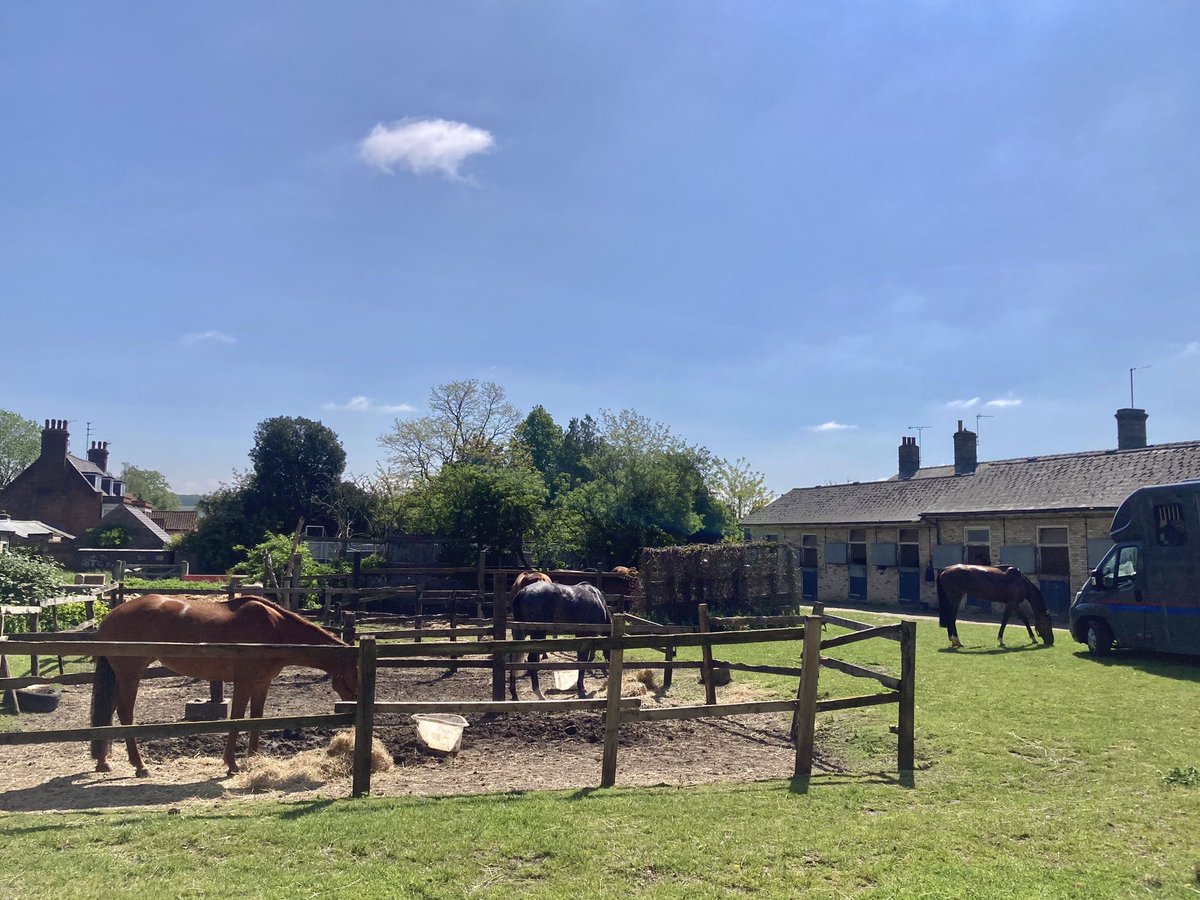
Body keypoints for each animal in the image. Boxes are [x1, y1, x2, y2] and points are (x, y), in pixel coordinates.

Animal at [89, 595, 355, 777]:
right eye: (356, 673)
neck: (275, 629)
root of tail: (110, 616)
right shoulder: (244, 682)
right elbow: (237, 719)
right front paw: (232, 764)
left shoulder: (262, 683)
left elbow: (257, 718)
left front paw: (253, 758)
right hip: (130, 675)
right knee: (125, 713)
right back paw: (140, 766)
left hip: (122, 677)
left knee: (109, 711)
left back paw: (103, 762)